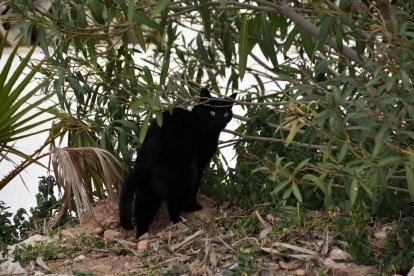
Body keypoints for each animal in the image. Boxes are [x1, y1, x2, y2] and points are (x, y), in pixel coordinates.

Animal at [119, 88, 236, 237]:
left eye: (226, 113)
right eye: (212, 112)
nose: (220, 120)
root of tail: (147, 166)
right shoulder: (200, 163)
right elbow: (195, 189)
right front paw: (193, 207)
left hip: (147, 193)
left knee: (142, 215)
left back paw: (142, 236)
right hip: (187, 173)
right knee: (173, 204)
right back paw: (179, 223)